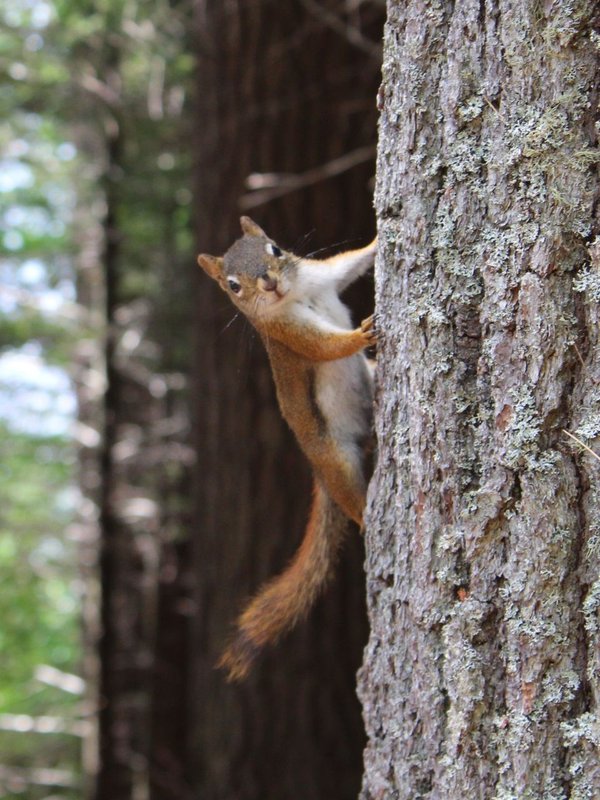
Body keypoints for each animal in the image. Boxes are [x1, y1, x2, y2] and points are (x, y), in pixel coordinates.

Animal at [198, 216, 376, 681]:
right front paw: (360, 334)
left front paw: (379, 238)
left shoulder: (323, 276)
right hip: (335, 459)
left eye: (275, 249)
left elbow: (351, 263)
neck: (296, 294)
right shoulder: (286, 334)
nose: (269, 284)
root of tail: (317, 470)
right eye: (232, 286)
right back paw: (367, 517)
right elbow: (325, 346)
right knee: (351, 498)